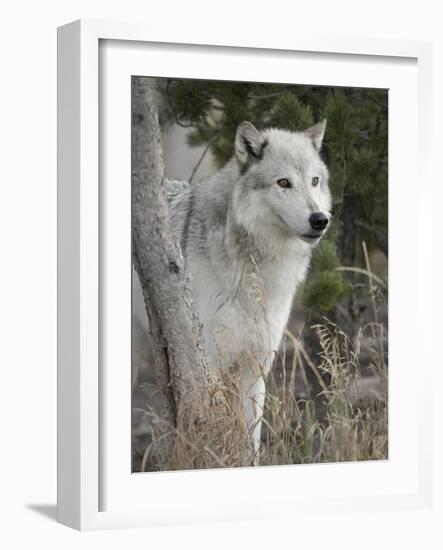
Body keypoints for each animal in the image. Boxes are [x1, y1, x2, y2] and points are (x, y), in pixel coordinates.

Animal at [134, 119, 332, 462]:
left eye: (315, 181)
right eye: (284, 183)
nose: (320, 219)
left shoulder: (256, 365)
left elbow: (251, 439)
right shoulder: (211, 362)